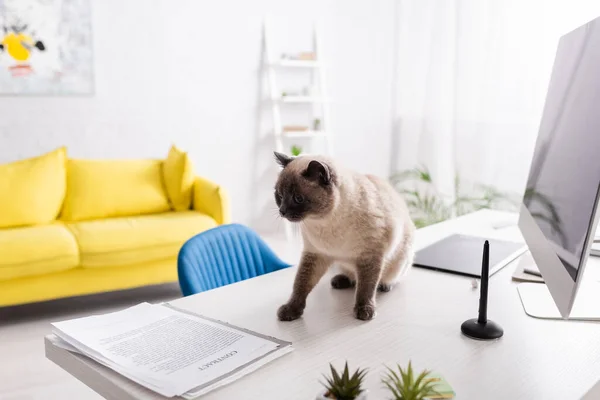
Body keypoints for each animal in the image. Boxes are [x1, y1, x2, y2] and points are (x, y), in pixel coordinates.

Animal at [274, 151, 414, 322]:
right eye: (279, 196)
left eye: (298, 198)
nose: (282, 211)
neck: (324, 223)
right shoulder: (315, 254)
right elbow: (301, 284)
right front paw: (291, 310)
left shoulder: (369, 256)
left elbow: (366, 287)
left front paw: (364, 311)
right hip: (342, 264)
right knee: (353, 277)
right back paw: (340, 281)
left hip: (400, 260)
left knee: (385, 279)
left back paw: (385, 286)